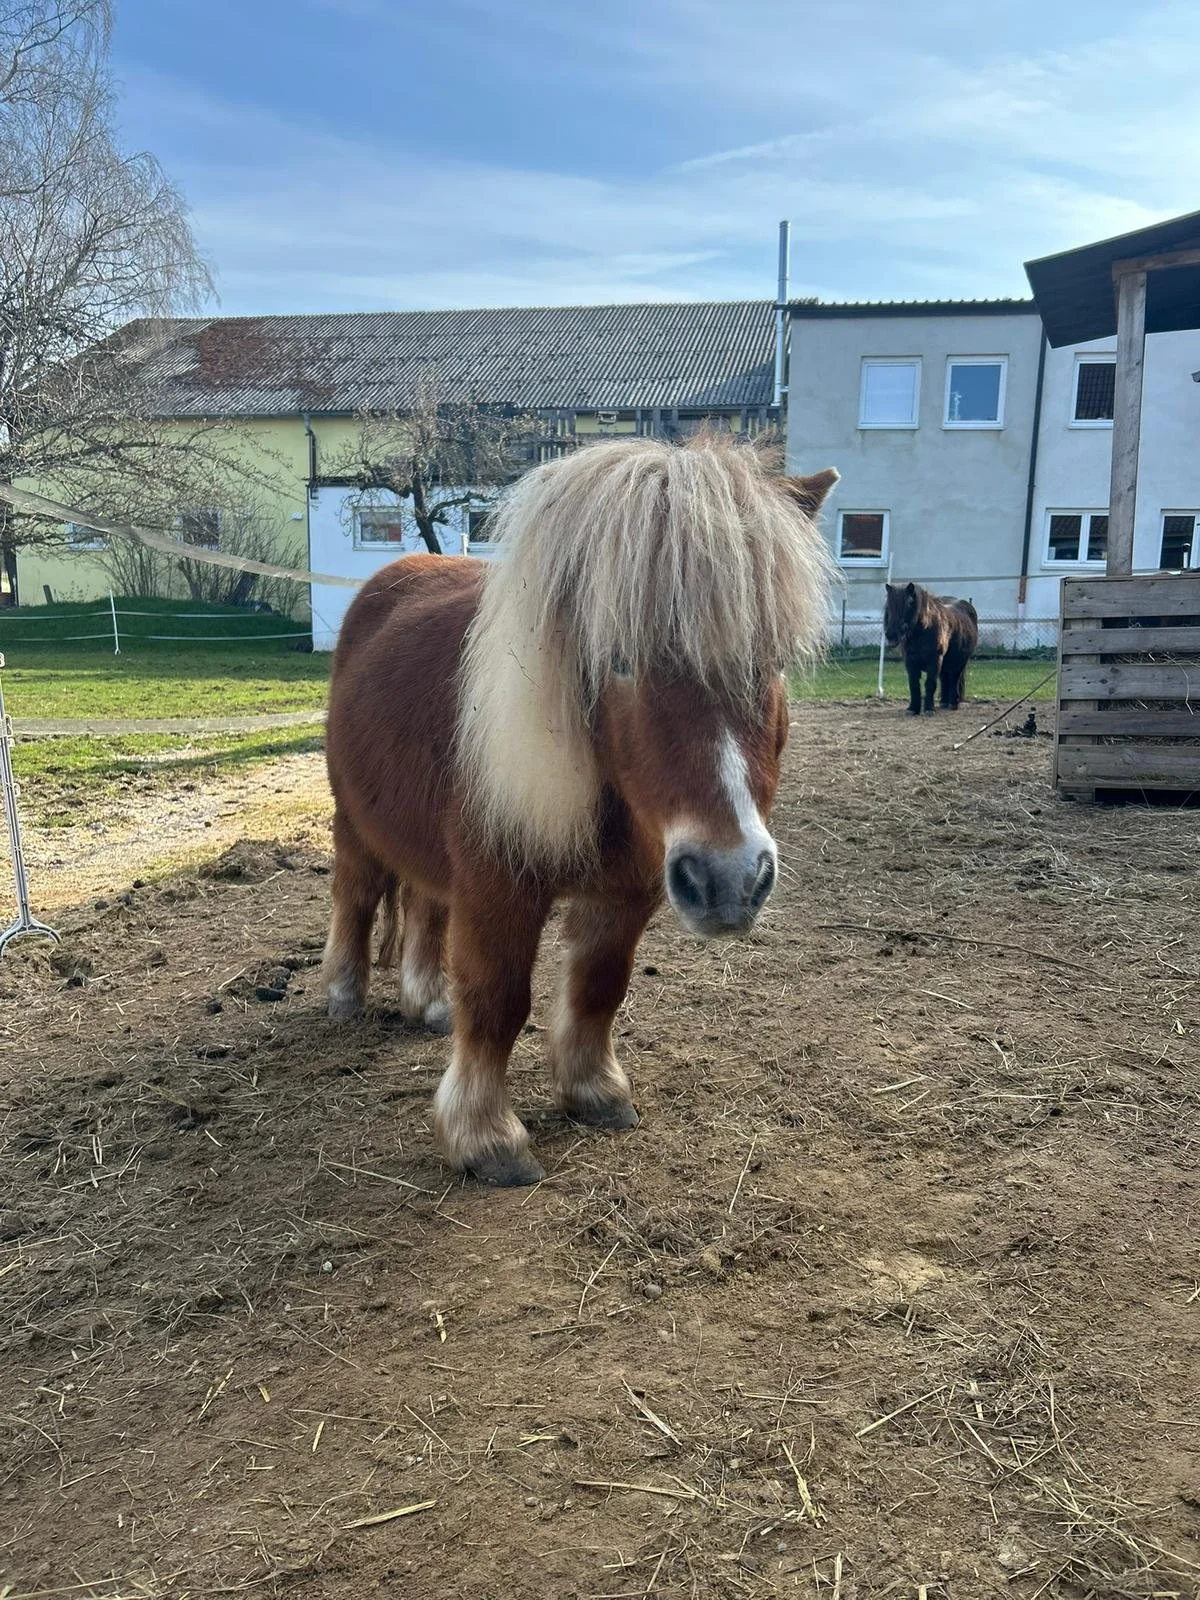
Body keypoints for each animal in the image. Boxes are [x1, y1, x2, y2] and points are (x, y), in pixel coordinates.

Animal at [322, 433, 838, 1186]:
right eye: (617, 659)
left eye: (770, 659)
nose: (730, 881)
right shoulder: (498, 887)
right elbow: (498, 998)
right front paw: (485, 1137)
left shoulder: (626, 894)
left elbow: (599, 987)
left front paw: (593, 1092)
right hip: (353, 823)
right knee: (356, 897)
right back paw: (342, 995)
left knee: (423, 906)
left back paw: (428, 1003)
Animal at [883, 581, 979, 716]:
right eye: (889, 605)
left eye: (909, 604)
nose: (891, 635)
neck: (924, 630)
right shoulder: (910, 662)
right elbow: (914, 684)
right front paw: (913, 708)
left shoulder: (935, 660)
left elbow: (930, 684)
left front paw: (929, 709)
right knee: (945, 678)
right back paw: (944, 702)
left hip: (960, 662)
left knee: (954, 678)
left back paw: (953, 703)